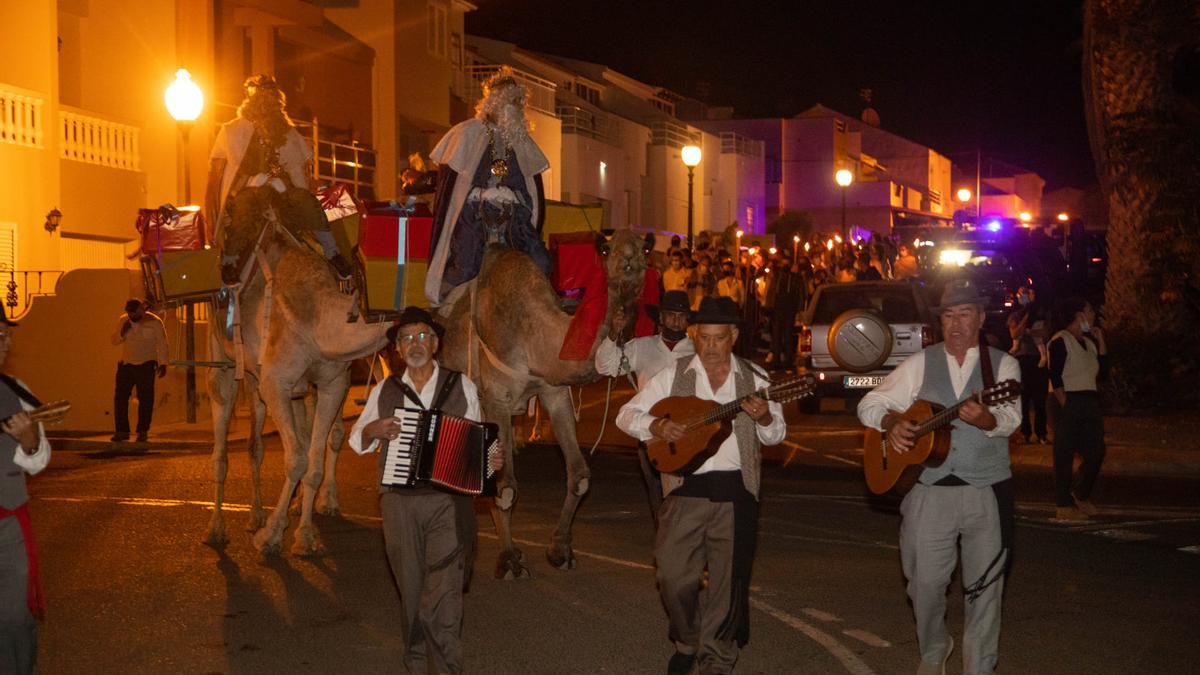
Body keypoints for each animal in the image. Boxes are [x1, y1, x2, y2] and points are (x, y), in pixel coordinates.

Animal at [202, 234, 388, 554]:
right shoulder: (276, 383)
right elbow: (298, 459)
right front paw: (271, 536)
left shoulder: (332, 383)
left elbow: (314, 459)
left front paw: (305, 535)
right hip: (222, 356)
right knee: (223, 441)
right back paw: (218, 529)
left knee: (264, 442)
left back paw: (260, 515)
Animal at [439, 228, 648, 576]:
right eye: (605, 249)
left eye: (646, 247)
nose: (631, 260)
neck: (534, 338)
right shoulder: (498, 398)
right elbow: (507, 486)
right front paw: (510, 559)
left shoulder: (555, 394)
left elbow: (579, 477)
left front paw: (560, 550)